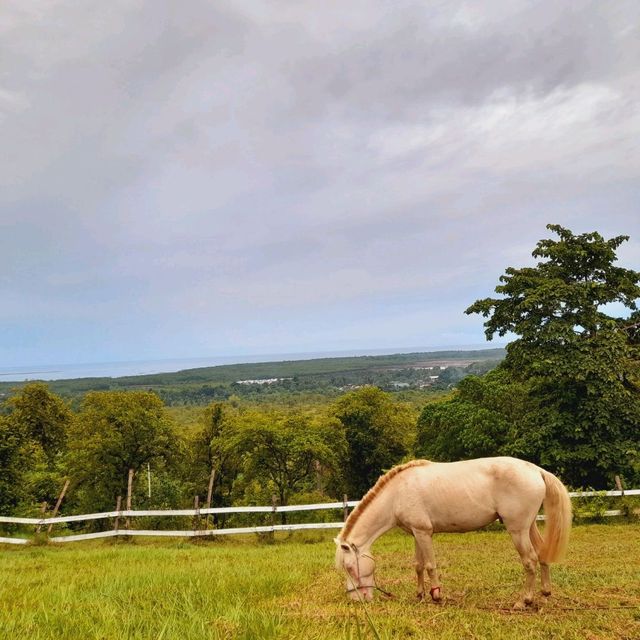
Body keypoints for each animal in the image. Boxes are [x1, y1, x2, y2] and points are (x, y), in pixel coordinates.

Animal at [336, 458, 568, 608]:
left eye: (350, 567)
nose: (355, 600)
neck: (396, 494)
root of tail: (535, 470)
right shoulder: (417, 533)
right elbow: (418, 565)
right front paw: (420, 595)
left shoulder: (424, 533)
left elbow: (430, 565)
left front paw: (436, 596)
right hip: (529, 527)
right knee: (542, 554)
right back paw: (545, 592)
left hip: (517, 531)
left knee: (530, 561)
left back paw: (524, 601)